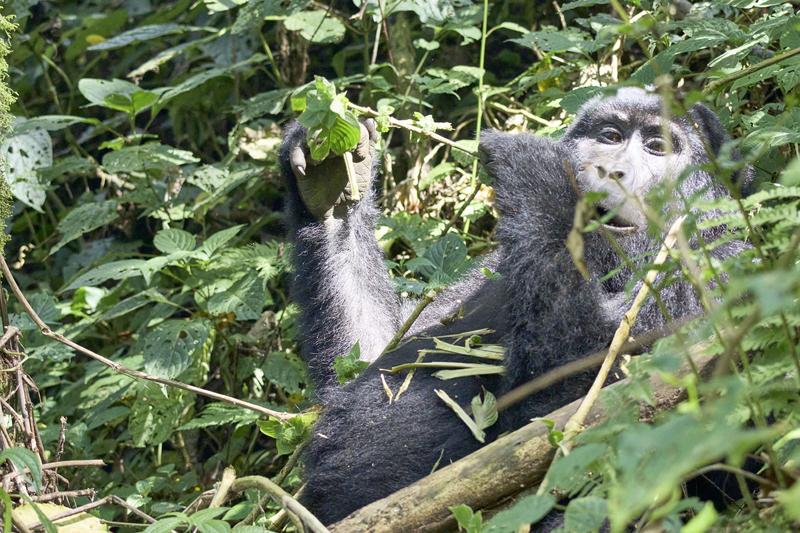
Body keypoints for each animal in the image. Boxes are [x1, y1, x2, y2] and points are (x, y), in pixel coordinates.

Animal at [276, 87, 752, 524]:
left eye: (657, 147)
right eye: (611, 136)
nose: (612, 169)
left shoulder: (718, 269)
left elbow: (579, 413)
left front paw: (538, 169)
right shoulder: (486, 268)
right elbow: (375, 357)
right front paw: (331, 192)